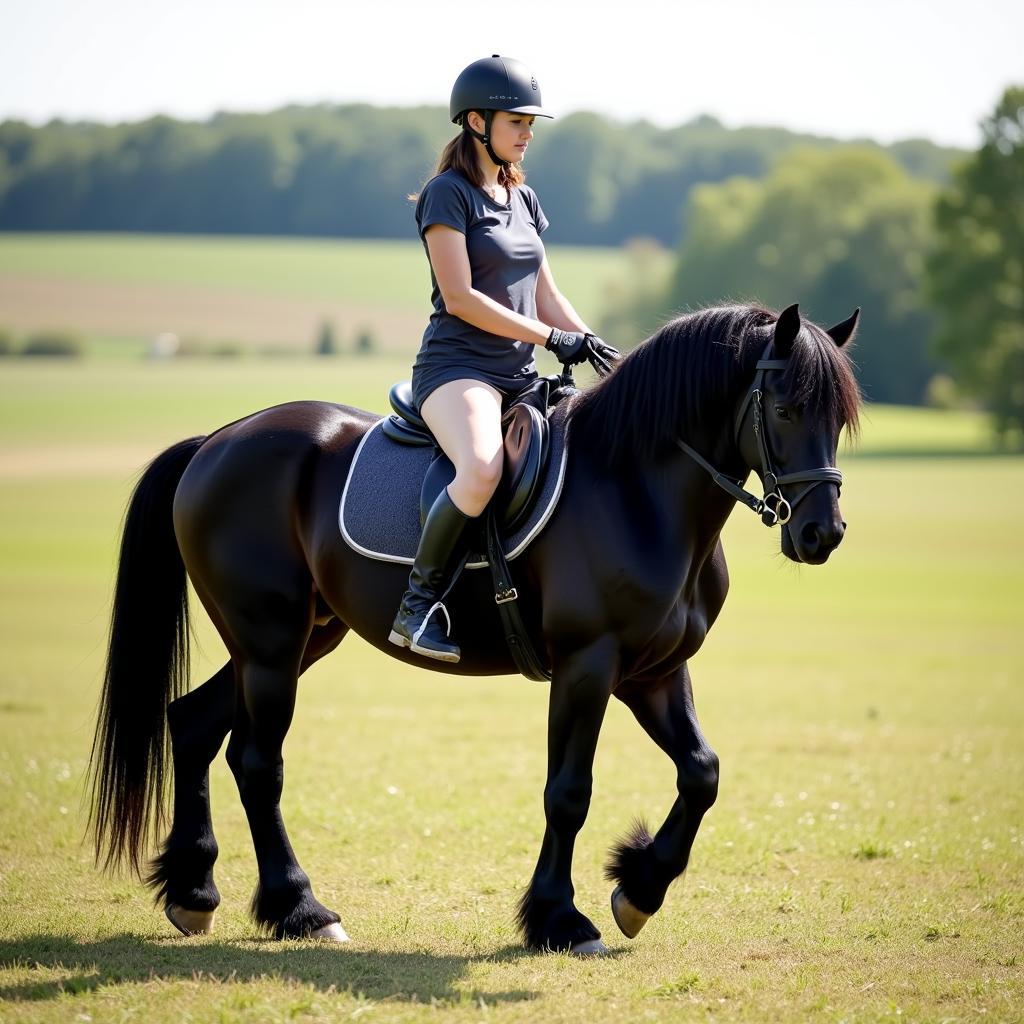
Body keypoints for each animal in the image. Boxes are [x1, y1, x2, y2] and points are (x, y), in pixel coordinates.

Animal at [88, 299, 860, 954]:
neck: (637, 488)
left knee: (192, 723)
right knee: (257, 763)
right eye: (786, 408)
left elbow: (702, 772)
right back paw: (299, 908)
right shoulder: (588, 664)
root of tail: (218, 440)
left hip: (298, 639)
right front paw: (559, 918)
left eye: (840, 420)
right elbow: (568, 792)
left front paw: (638, 890)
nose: (822, 535)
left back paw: (195, 892)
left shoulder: (654, 671)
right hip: (270, 645)